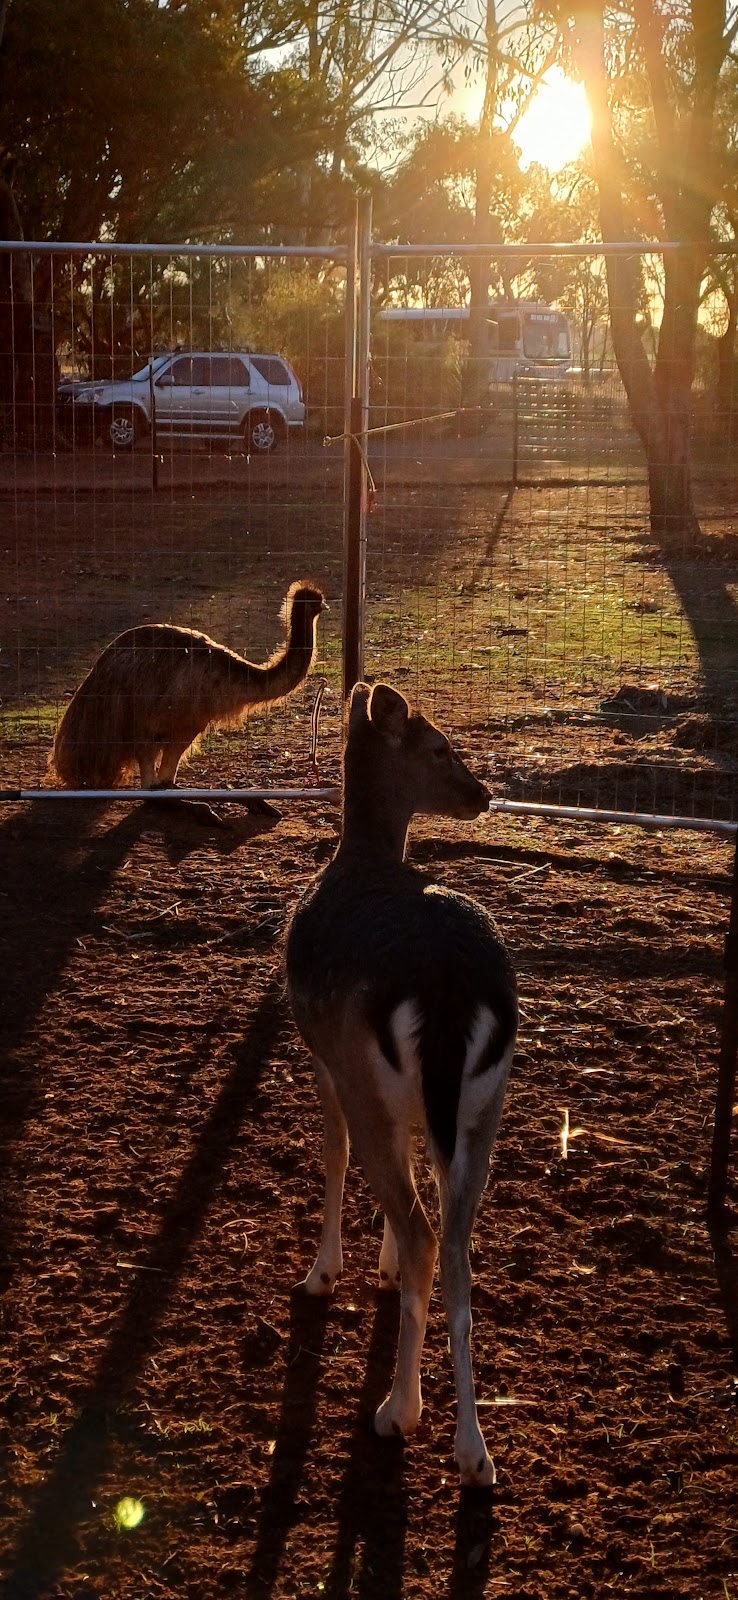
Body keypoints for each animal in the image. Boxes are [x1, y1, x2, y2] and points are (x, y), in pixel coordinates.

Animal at [46, 582, 321, 793]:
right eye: (316, 601)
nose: (325, 605)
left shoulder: (190, 724)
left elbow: (168, 777)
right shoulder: (178, 720)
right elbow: (157, 782)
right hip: (137, 718)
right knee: (147, 775)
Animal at [283, 684, 518, 1484]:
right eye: (440, 746)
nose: (483, 793)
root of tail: (448, 991)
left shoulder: (325, 1057)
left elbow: (333, 1155)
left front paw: (324, 1273)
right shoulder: (418, 1110)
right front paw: (380, 1268)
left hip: (367, 1077)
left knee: (424, 1230)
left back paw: (399, 1410)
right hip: (485, 1109)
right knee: (455, 1247)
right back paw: (474, 1452)